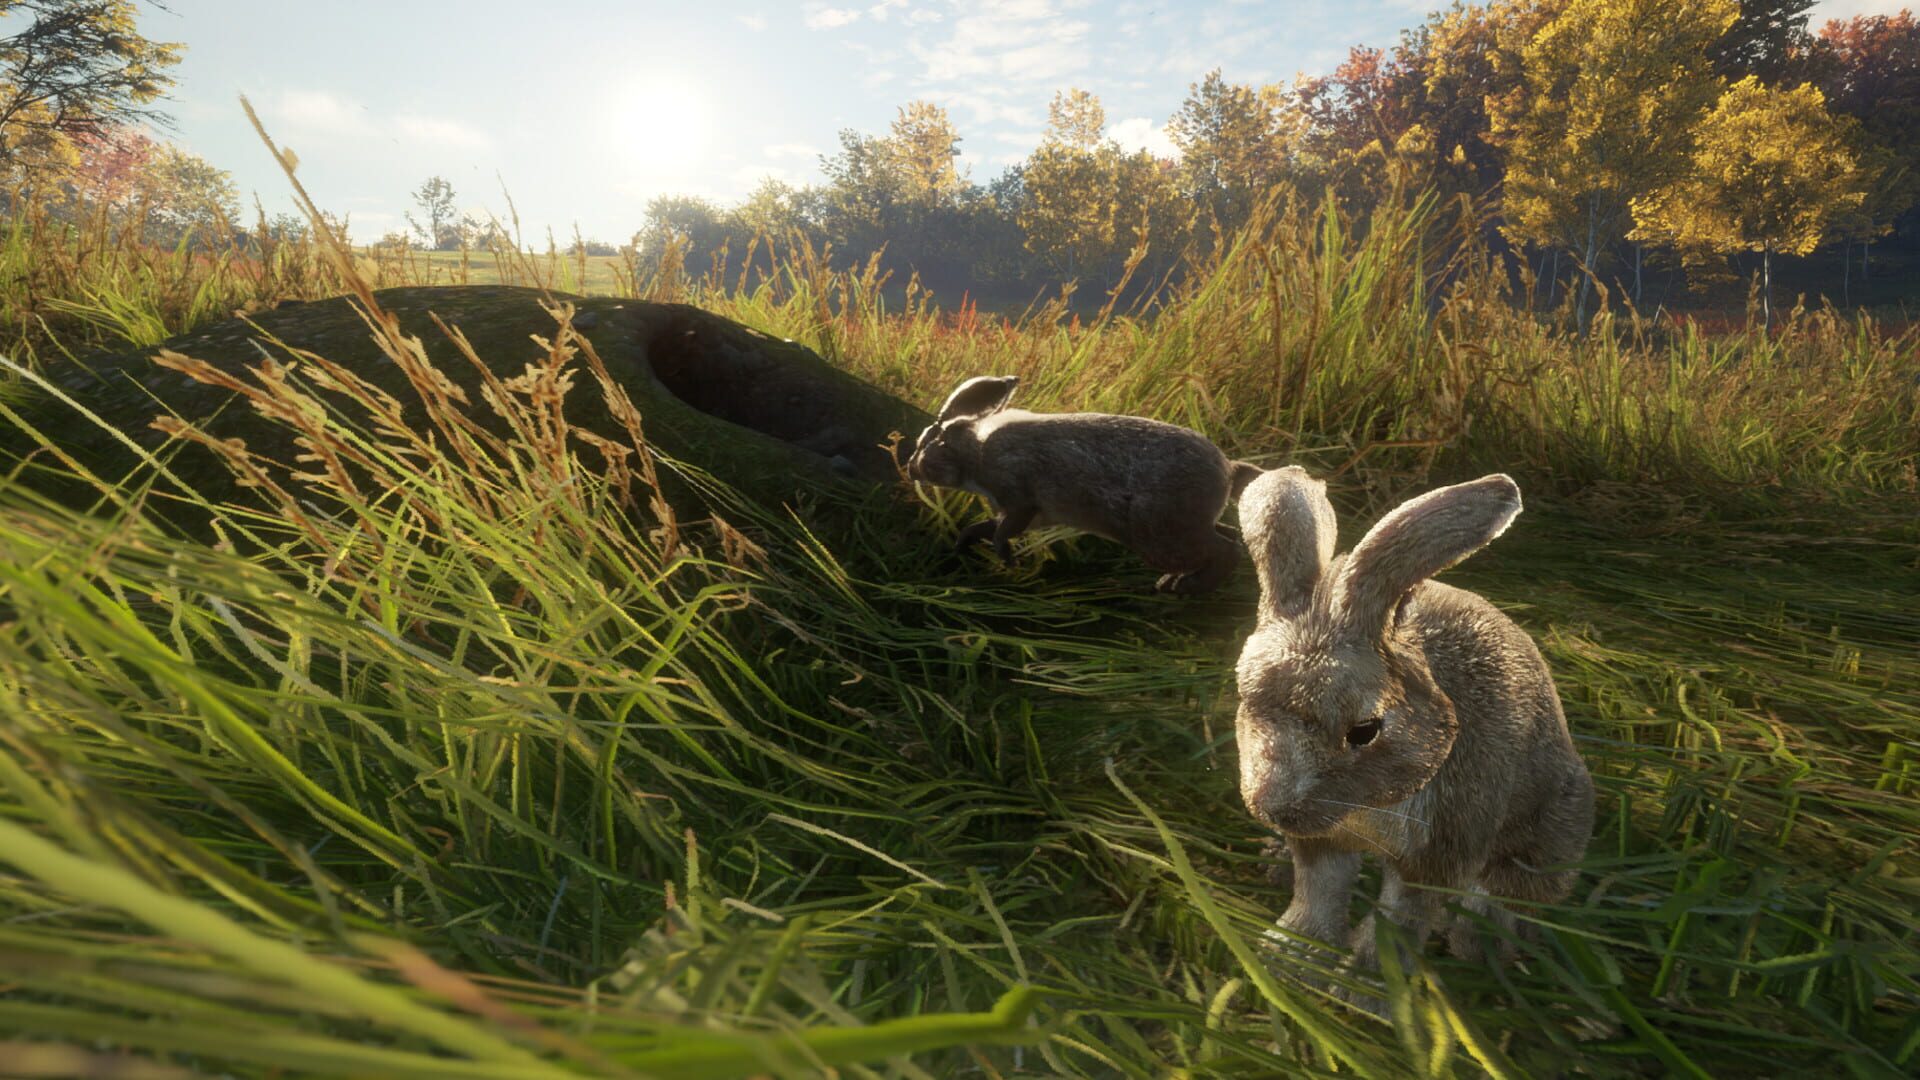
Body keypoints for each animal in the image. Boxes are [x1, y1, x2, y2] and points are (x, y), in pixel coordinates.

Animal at [906, 375, 1263, 594]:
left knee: (1225, 550)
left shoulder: (1020, 496)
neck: (976, 450)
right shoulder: (1026, 514)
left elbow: (1003, 530)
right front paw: (962, 544)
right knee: (1228, 537)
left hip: (1160, 535)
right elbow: (986, 527)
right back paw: (1174, 584)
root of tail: (1228, 470)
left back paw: (1185, 587)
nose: (911, 468)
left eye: (929, 441)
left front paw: (1008, 560)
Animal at [1232, 466, 1593, 983]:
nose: (1272, 807)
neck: (1369, 804)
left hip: (1554, 823)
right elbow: (1319, 889)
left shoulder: (1441, 848)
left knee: (1517, 891)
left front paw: (1365, 985)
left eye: (1364, 730)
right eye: (1245, 695)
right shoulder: (1324, 840)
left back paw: (1480, 945)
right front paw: (1291, 958)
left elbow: (1400, 917)